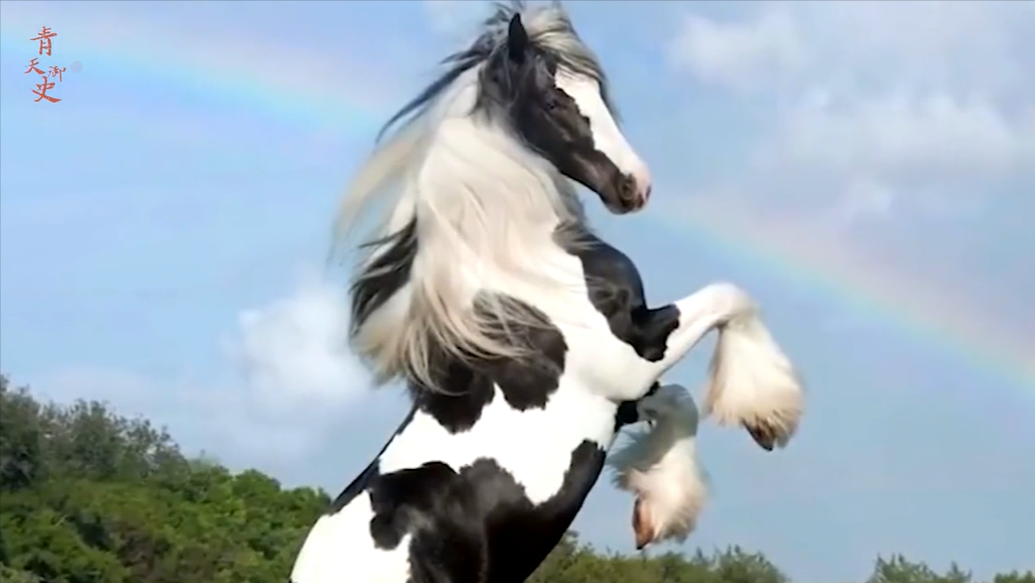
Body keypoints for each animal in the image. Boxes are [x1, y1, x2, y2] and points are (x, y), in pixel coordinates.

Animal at [290, 3, 803, 583]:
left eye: (599, 93)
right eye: (555, 101)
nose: (635, 185)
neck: (528, 270)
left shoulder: (625, 398)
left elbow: (680, 400)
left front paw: (657, 510)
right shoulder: (632, 357)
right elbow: (731, 297)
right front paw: (768, 414)